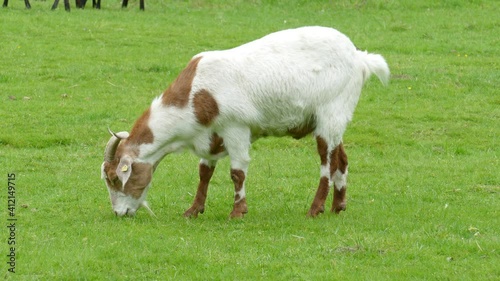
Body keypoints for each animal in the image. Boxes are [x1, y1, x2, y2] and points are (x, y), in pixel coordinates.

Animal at [100, 26, 390, 218]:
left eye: (115, 179)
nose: (119, 213)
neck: (197, 94)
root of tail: (359, 57)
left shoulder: (235, 128)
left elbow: (237, 172)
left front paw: (238, 211)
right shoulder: (210, 134)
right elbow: (204, 172)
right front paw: (194, 209)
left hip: (330, 113)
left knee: (327, 162)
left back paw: (315, 208)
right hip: (334, 119)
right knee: (341, 158)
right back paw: (338, 206)